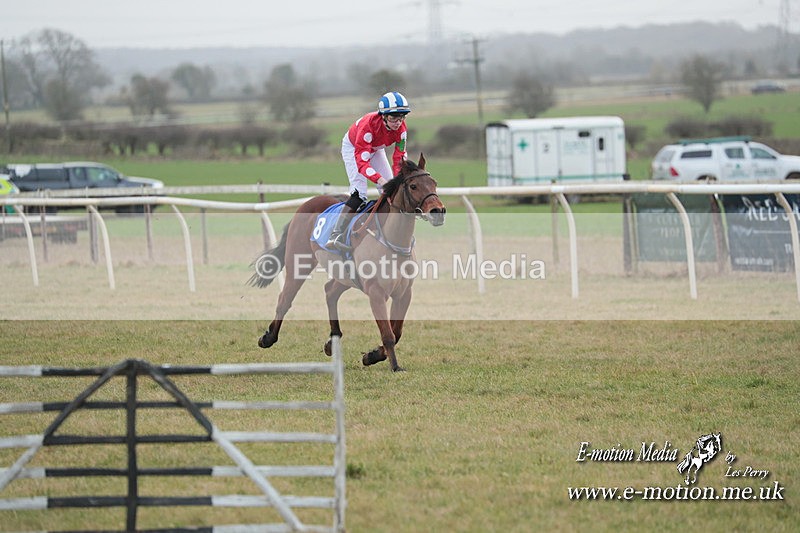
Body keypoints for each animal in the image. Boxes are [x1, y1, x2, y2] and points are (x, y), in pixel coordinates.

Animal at [249, 154, 446, 372]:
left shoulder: (404, 293)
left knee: (330, 291)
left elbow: (397, 332)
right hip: (298, 262)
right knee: (285, 298)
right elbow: (388, 334)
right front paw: (394, 366)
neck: (392, 241)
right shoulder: (376, 293)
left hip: (345, 275)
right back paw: (268, 337)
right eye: (413, 186)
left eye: (434, 183)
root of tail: (308, 203)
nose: (438, 211)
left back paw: (332, 340)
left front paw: (372, 355)